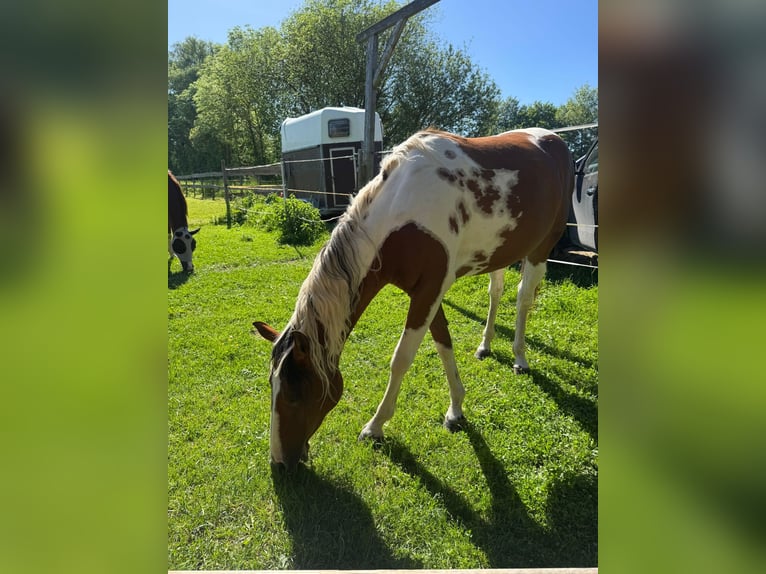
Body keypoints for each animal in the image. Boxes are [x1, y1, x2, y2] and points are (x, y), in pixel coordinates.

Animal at [254, 127, 574, 470]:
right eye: (271, 386)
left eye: (294, 394)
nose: (279, 463)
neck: (403, 216)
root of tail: (552, 140)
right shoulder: (427, 292)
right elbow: (443, 342)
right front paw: (456, 408)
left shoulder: (429, 291)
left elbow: (402, 358)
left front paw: (375, 426)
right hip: (500, 253)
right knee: (496, 291)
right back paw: (485, 345)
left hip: (541, 247)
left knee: (523, 298)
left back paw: (520, 358)